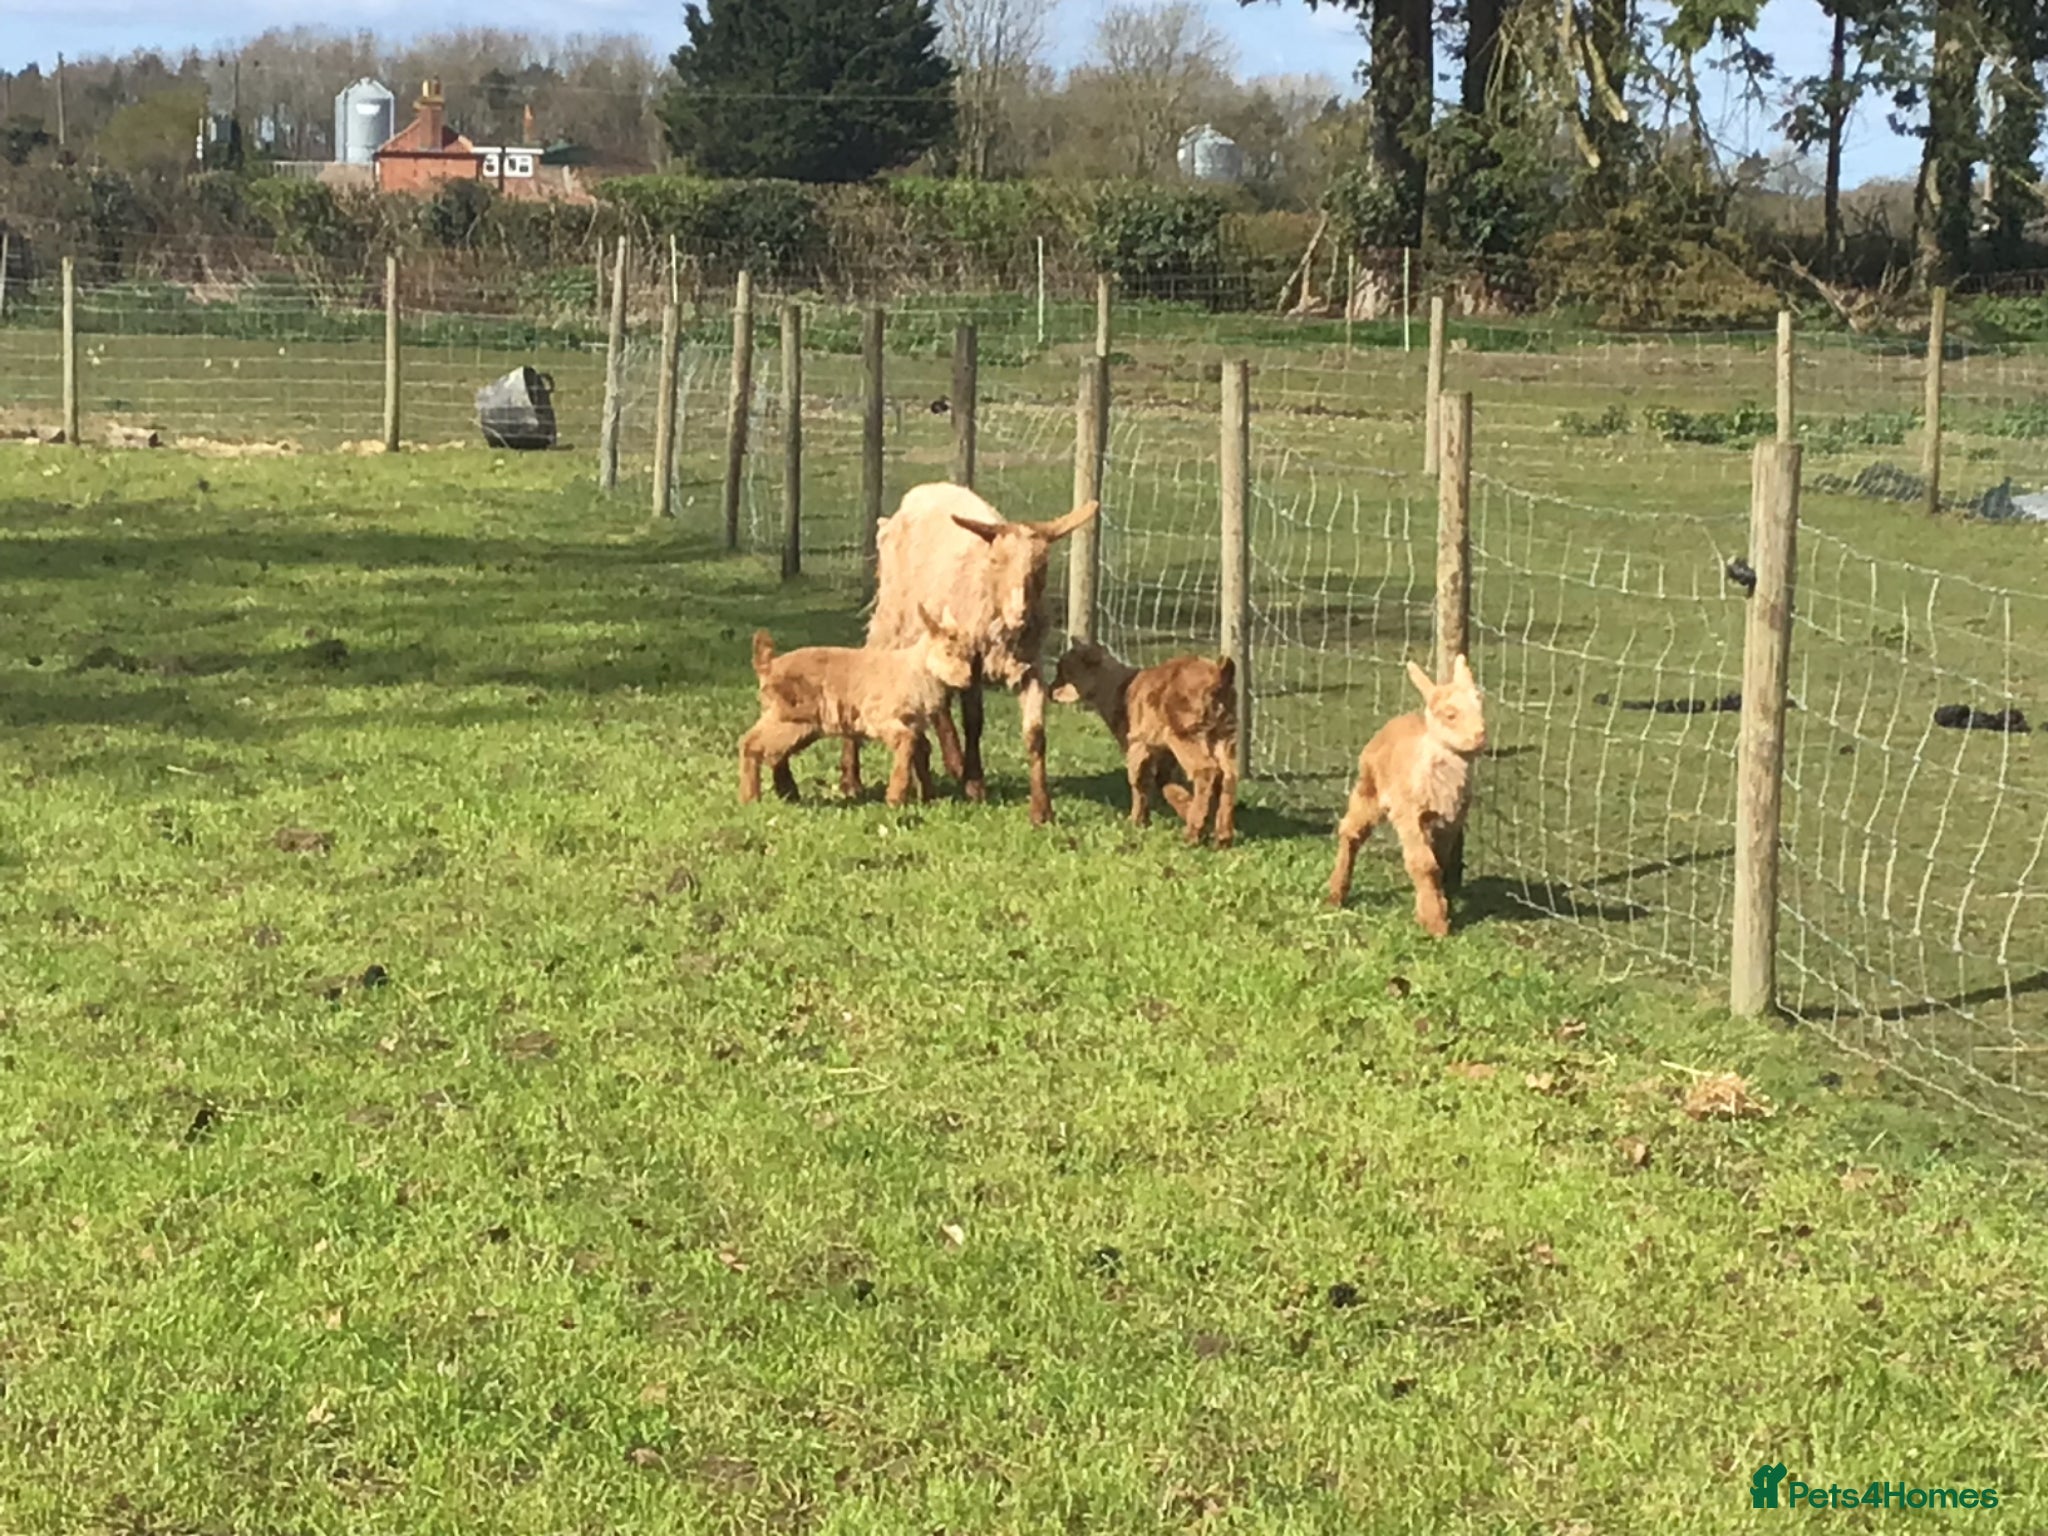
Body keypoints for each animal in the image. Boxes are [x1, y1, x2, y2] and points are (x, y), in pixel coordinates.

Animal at [740, 605, 974, 808]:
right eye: (948, 651)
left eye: (970, 654)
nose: (967, 680)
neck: (913, 670)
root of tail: (767, 666)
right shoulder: (878, 716)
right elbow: (906, 741)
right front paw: (895, 799)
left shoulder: (913, 722)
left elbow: (919, 750)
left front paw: (927, 797)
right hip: (792, 717)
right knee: (750, 742)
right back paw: (750, 799)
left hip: (794, 721)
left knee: (769, 750)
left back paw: (782, 795)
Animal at [840, 484, 1098, 826]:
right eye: (996, 561)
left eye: (1041, 566)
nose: (1019, 614)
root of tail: (920, 492)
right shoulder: (973, 661)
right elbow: (974, 722)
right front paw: (975, 785)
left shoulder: (1028, 666)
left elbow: (1035, 735)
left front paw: (1041, 809)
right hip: (892, 619)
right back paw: (851, 779)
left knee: (937, 702)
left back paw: (949, 765)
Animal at [1049, 641, 1240, 847]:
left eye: (1063, 670)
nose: (1050, 690)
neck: (1120, 687)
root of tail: (1220, 673)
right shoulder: (1163, 752)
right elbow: (1163, 782)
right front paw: (1189, 809)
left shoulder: (1137, 744)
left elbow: (1138, 781)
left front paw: (1135, 822)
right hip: (1223, 734)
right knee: (1228, 775)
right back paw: (1223, 836)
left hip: (1184, 733)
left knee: (1206, 771)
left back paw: (1192, 833)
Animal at [1327, 655, 1488, 937]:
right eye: (1450, 714)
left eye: (1480, 705)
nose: (1480, 735)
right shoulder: (1408, 812)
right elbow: (1423, 863)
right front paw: (1435, 924)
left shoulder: (1450, 820)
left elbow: (1438, 863)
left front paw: (1434, 911)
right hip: (1369, 787)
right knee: (1351, 831)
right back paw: (1336, 893)